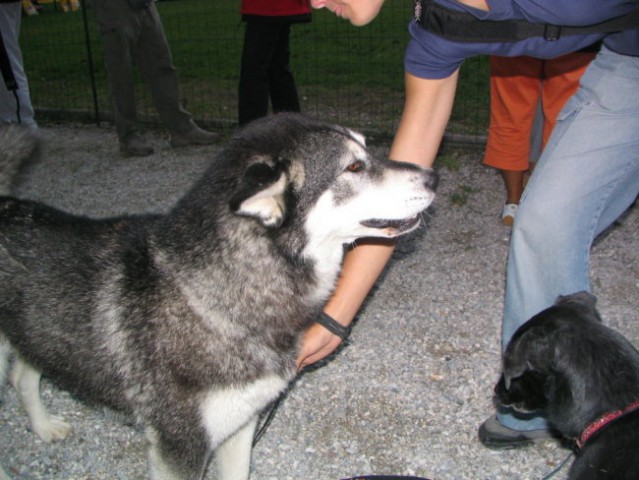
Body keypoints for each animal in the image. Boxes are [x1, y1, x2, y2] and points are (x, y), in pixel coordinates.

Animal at [0, 114, 440, 478]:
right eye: (353, 167)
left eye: (366, 149)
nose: (433, 176)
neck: (218, 296)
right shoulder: (180, 446)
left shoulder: (241, 424)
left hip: (37, 336)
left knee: (22, 375)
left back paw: (43, 426)